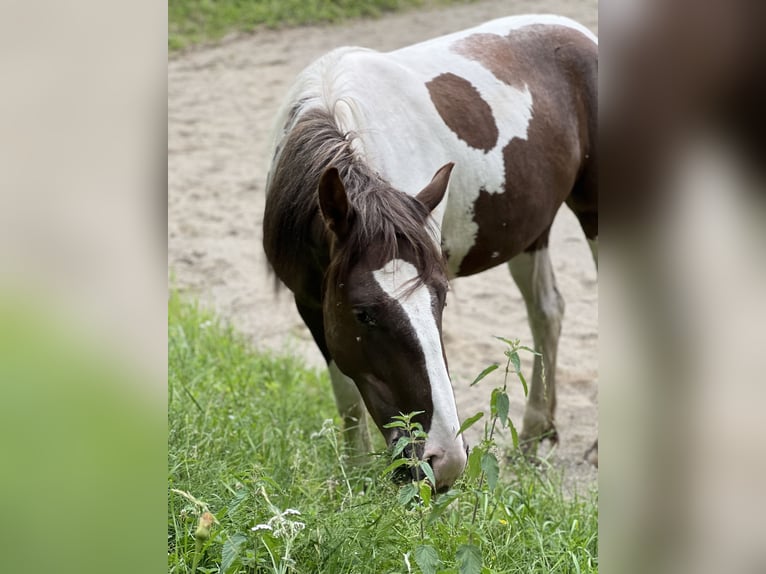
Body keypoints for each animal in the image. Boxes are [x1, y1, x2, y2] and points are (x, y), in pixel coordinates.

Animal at [263, 14, 598, 492]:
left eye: (441, 300)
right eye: (363, 314)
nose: (446, 462)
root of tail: (579, 32)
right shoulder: (309, 302)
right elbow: (347, 396)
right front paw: (356, 474)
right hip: (532, 235)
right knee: (547, 311)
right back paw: (534, 435)